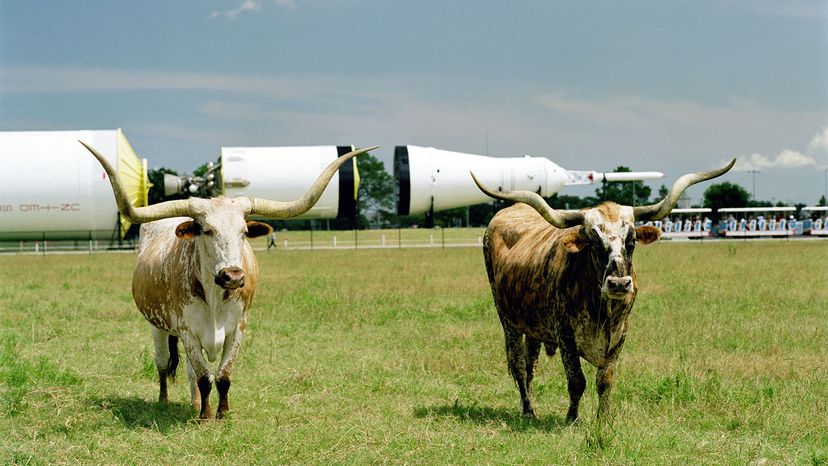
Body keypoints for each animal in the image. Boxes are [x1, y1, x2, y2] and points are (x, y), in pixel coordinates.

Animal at [468, 160, 736, 426]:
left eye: (632, 240)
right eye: (594, 241)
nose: (619, 284)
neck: (601, 309)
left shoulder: (620, 334)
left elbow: (605, 381)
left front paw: (604, 419)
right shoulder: (565, 334)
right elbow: (577, 380)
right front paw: (572, 418)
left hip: (533, 326)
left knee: (530, 363)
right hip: (508, 321)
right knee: (519, 367)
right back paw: (528, 410)